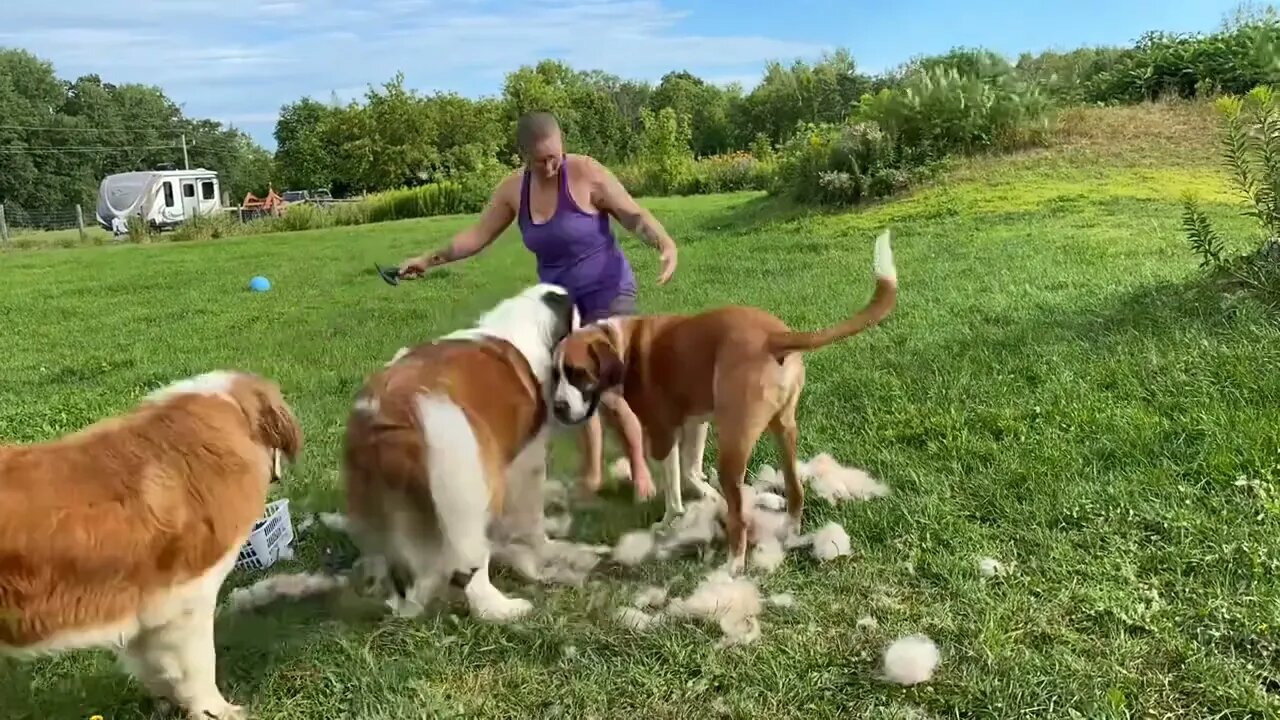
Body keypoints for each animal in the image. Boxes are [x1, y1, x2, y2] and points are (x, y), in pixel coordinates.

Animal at [340, 281, 581, 622]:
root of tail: (392, 410)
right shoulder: (526, 462)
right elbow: (531, 514)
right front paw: (542, 545)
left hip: (388, 505)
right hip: (467, 495)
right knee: (472, 568)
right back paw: (501, 609)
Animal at [550, 229, 901, 571]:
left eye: (577, 373)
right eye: (556, 373)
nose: (559, 407)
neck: (621, 344)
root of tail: (774, 336)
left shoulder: (663, 434)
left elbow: (674, 486)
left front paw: (668, 520)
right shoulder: (696, 422)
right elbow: (691, 470)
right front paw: (708, 498)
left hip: (733, 444)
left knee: (740, 516)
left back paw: (734, 564)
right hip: (783, 429)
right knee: (794, 488)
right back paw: (789, 530)